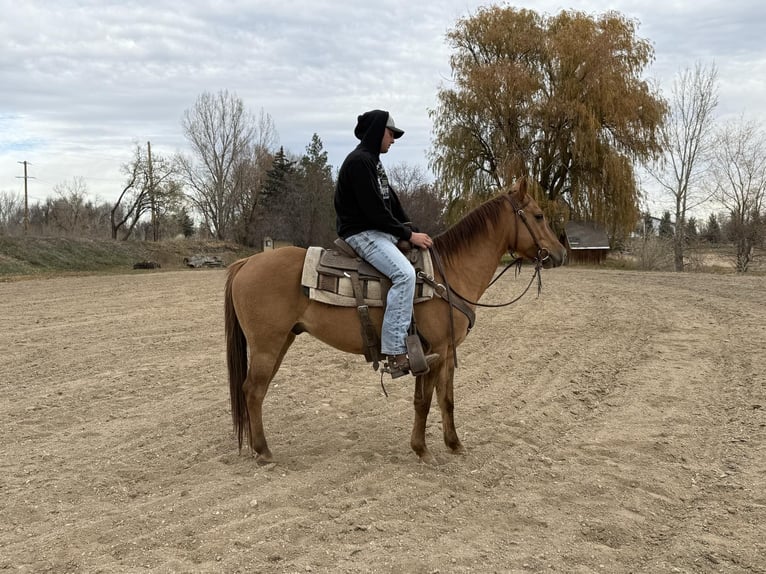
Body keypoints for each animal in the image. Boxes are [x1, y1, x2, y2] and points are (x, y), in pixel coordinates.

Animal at [224, 178, 567, 465]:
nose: (561, 253)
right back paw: (263, 452)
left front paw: (454, 444)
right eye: (538, 215)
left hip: (282, 340)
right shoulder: (434, 351)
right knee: (253, 390)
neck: (448, 275)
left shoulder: (445, 353)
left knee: (255, 390)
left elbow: (446, 400)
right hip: (267, 345)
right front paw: (422, 449)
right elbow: (424, 401)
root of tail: (246, 262)